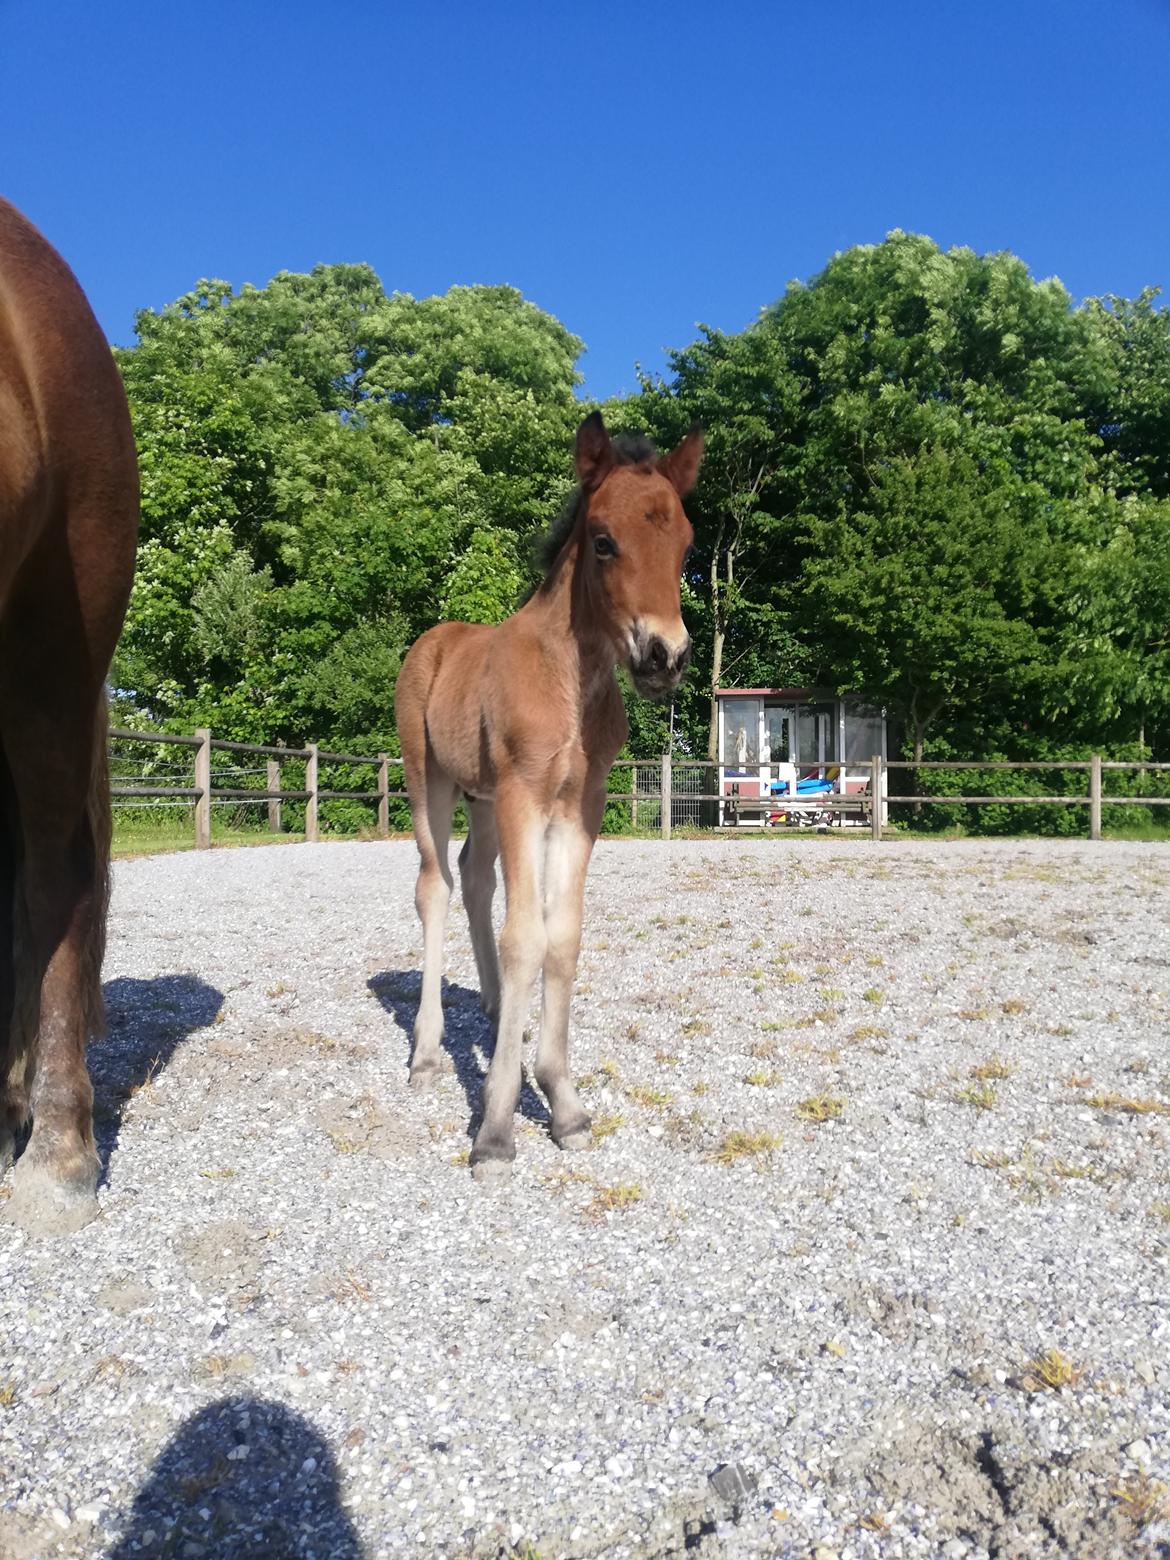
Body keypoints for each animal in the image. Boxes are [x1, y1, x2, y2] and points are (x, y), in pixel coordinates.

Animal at [394, 408, 705, 1173]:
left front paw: (562, 1102)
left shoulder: (578, 807)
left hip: (479, 797)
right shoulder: (522, 794)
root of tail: (433, 641)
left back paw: (497, 1010)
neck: (572, 679)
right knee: (436, 885)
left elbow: (560, 938)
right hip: (431, 779)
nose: (665, 655)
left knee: (476, 879)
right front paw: (496, 1126)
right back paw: (427, 1054)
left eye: (685, 545)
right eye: (604, 541)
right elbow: (525, 938)